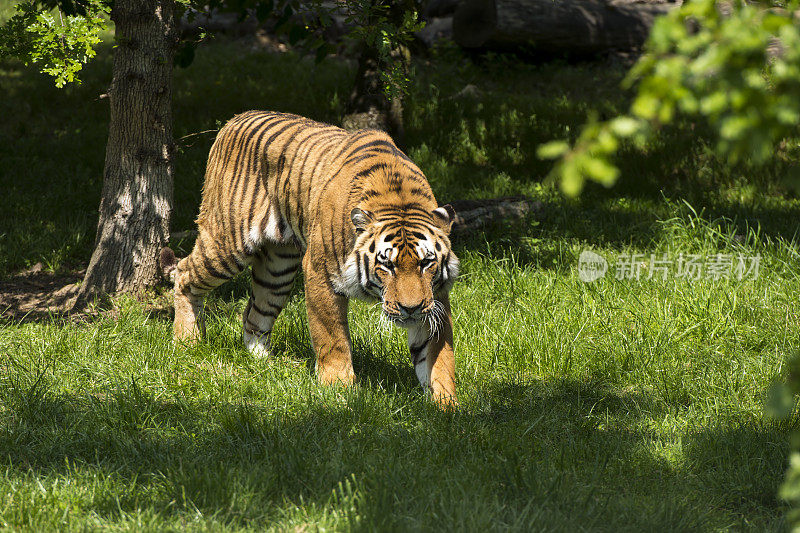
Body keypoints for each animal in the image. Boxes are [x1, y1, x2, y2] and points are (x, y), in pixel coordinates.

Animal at [166, 110, 460, 406]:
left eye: (426, 263)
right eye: (387, 265)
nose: (410, 309)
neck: (398, 200)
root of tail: (234, 119)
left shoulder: (434, 297)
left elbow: (438, 355)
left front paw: (447, 406)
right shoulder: (321, 274)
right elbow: (332, 337)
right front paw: (340, 391)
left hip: (278, 270)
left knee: (255, 315)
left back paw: (264, 364)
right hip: (227, 242)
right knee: (183, 273)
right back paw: (187, 341)